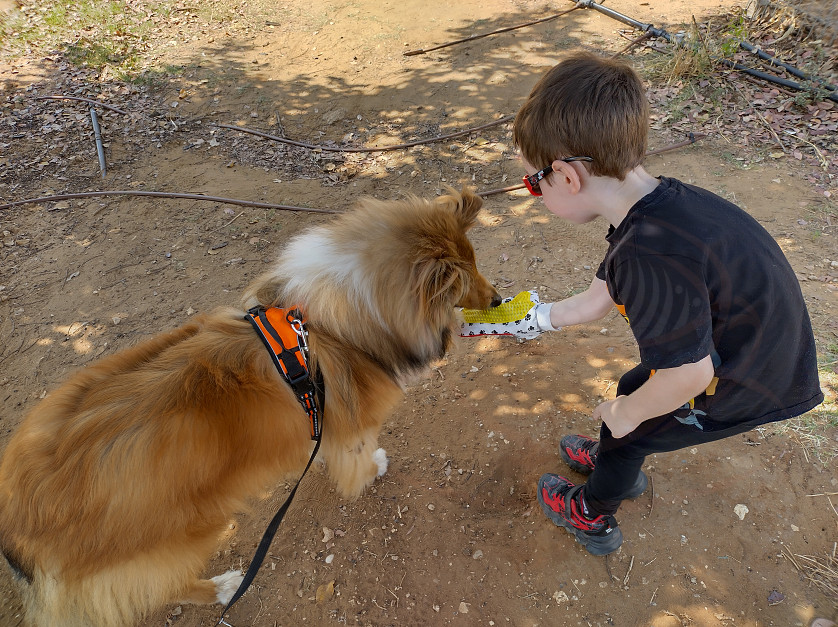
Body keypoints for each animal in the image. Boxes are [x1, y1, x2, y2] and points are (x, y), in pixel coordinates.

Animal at [0, 188, 498, 627]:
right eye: (463, 280)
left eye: (477, 263)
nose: (496, 299)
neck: (330, 322)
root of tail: (18, 514)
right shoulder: (356, 426)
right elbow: (358, 457)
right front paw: (373, 468)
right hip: (183, 535)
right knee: (160, 586)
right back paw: (221, 588)